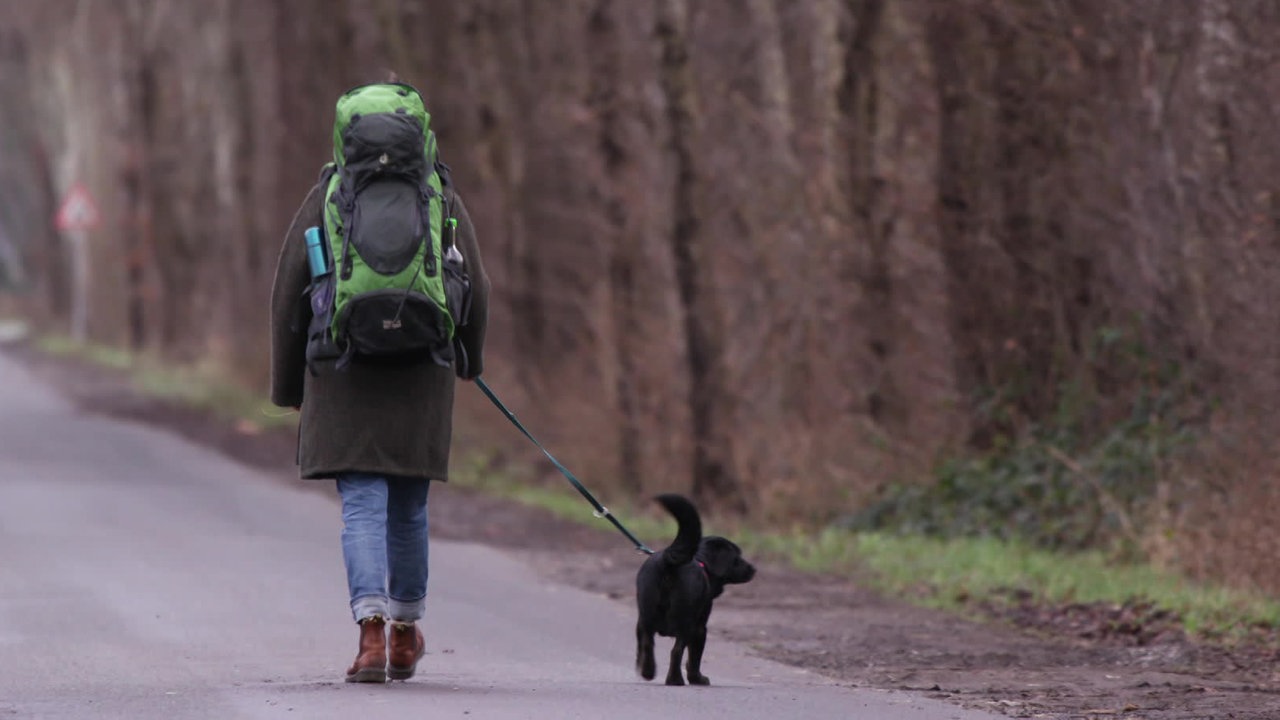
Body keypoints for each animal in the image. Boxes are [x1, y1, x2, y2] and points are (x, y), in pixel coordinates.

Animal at [634, 489, 752, 681]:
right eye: (737, 558)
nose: (753, 569)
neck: (702, 562)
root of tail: (668, 560)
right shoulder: (700, 629)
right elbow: (694, 657)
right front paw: (697, 678)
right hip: (685, 622)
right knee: (676, 651)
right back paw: (675, 680)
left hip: (645, 615)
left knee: (647, 644)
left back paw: (648, 671)